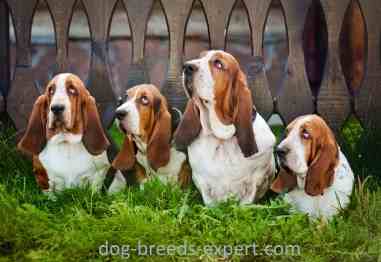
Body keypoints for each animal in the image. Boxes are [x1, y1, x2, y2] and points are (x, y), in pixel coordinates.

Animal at [174, 49, 274, 205]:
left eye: (218, 64)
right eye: (200, 56)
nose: (186, 67)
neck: (221, 138)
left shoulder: (256, 178)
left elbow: (247, 200)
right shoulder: (201, 180)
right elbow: (209, 200)